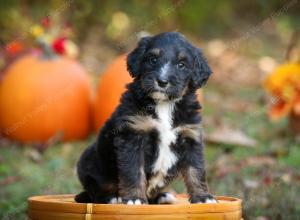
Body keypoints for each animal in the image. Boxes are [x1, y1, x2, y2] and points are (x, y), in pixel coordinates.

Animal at [74, 32, 216, 205]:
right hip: (89, 162)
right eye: (153, 59)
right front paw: (135, 198)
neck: (164, 105)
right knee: (93, 191)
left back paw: (162, 196)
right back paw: (111, 198)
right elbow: (134, 171)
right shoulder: (133, 136)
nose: (162, 81)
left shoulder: (190, 136)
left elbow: (196, 171)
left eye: (181, 64)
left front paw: (203, 198)